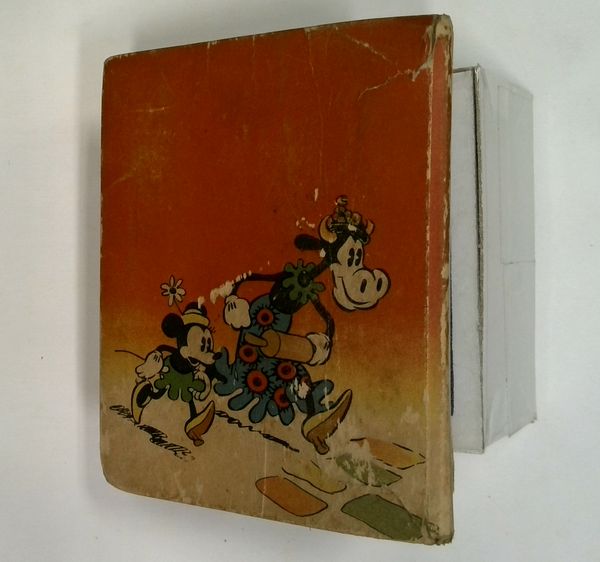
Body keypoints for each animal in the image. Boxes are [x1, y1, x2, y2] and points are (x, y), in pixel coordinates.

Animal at [210, 196, 390, 454]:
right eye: (351, 256)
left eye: (359, 256)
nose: (370, 283)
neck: (302, 280)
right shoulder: (280, 277)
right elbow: (244, 281)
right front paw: (238, 311)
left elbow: (327, 325)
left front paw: (319, 346)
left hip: (290, 370)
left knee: (304, 381)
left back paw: (320, 427)